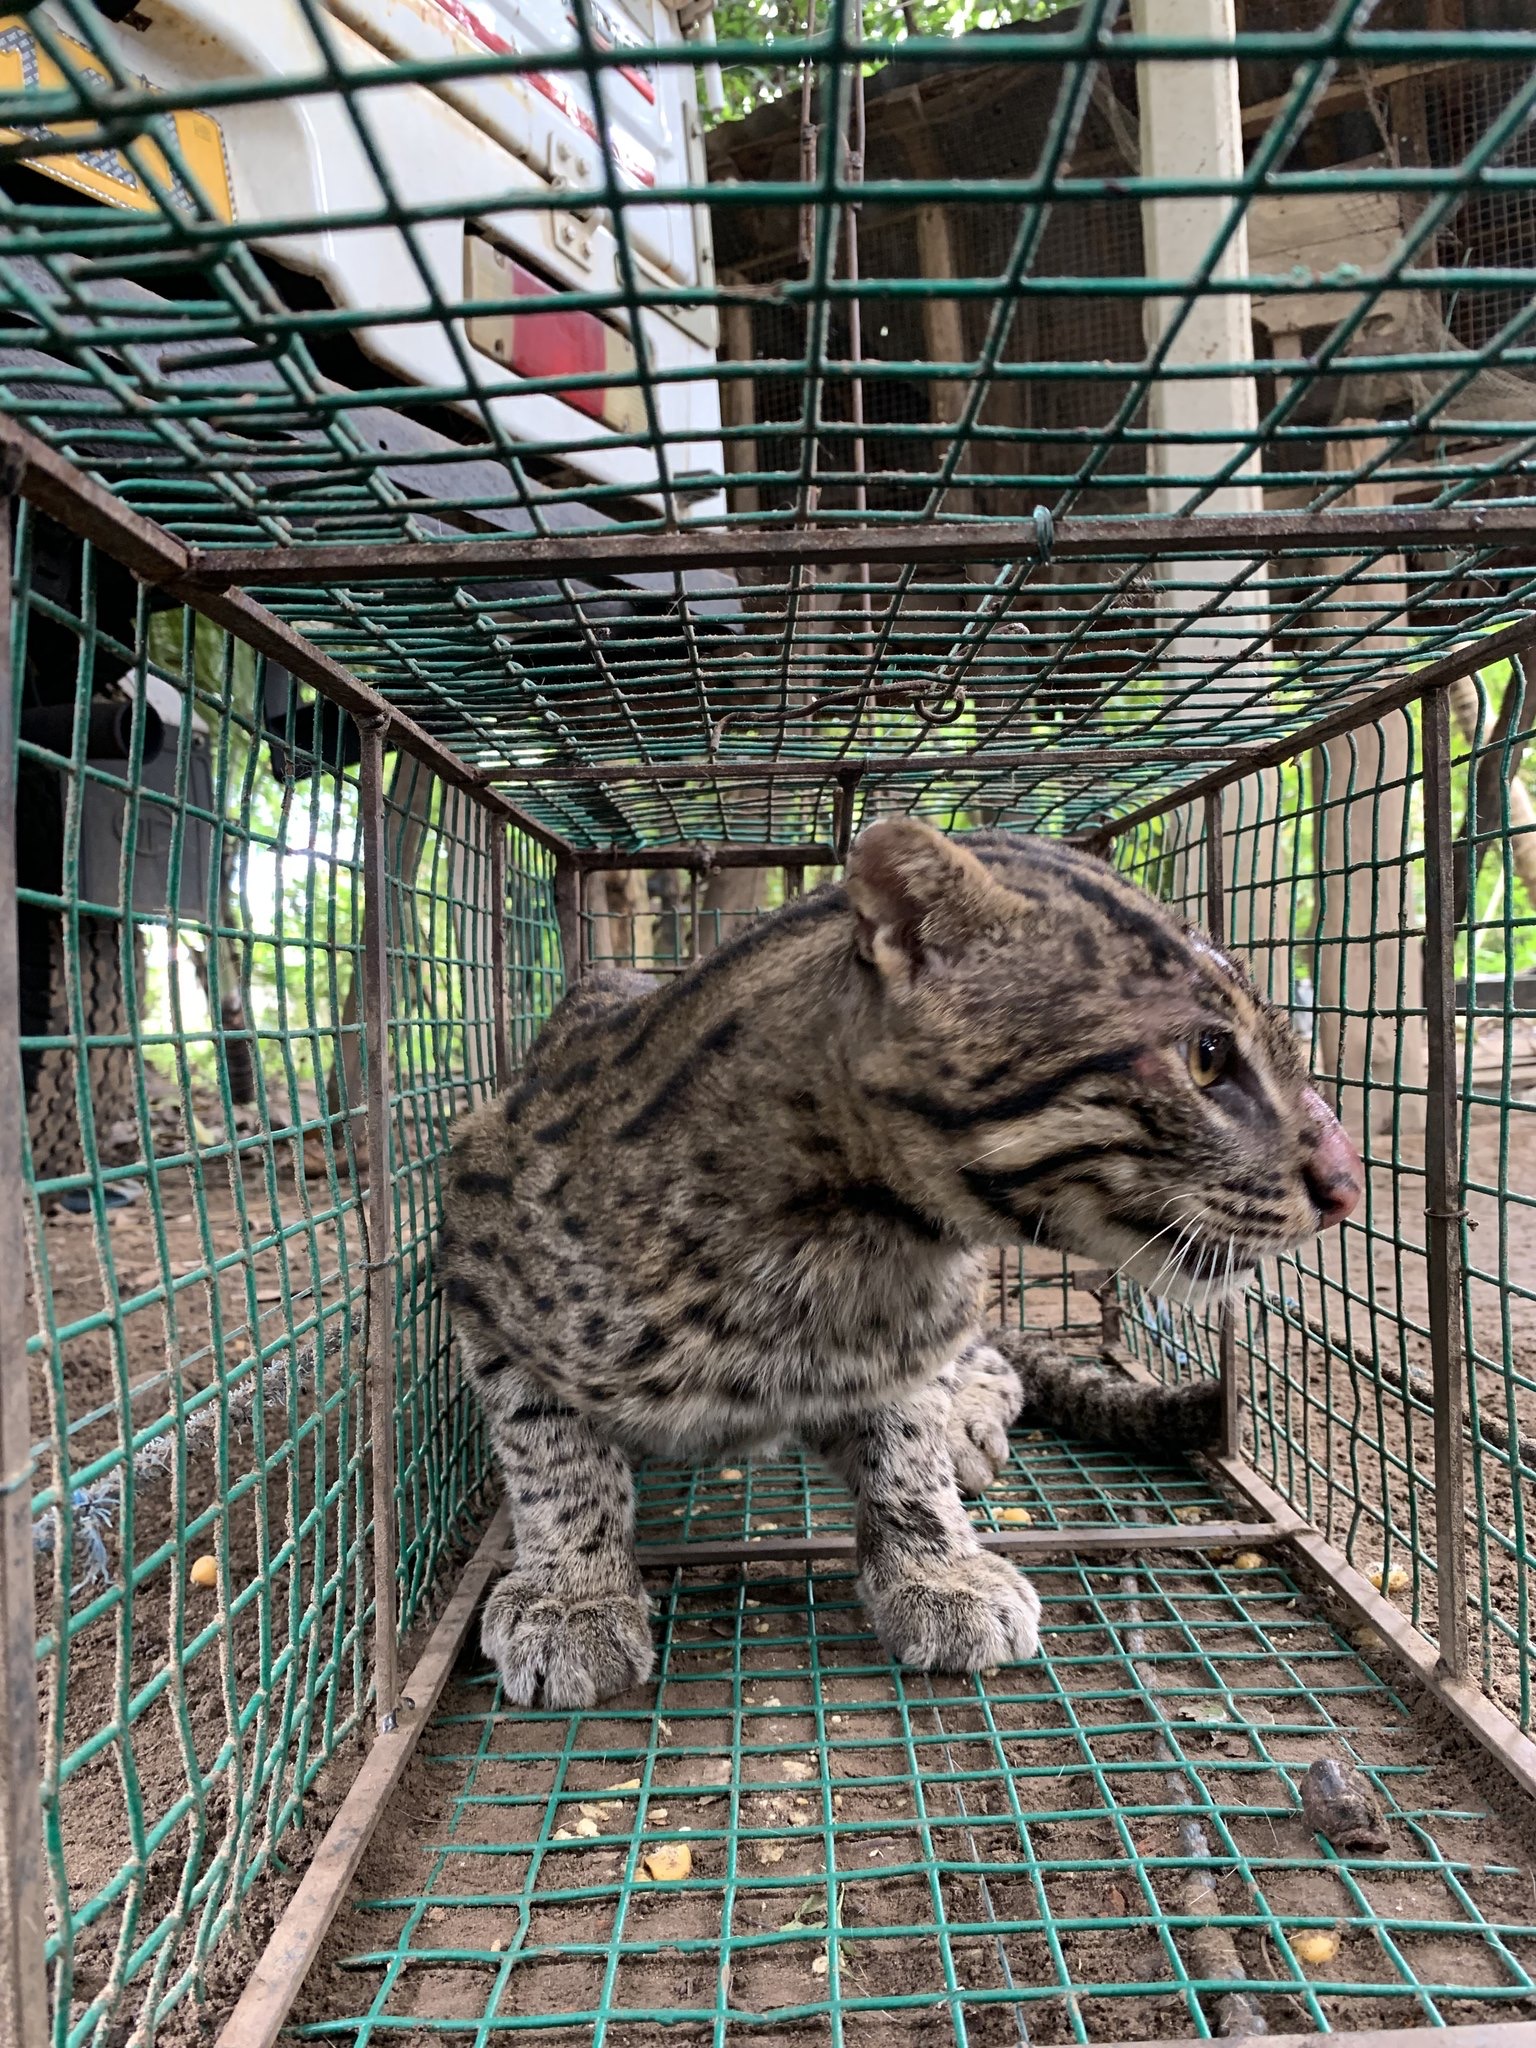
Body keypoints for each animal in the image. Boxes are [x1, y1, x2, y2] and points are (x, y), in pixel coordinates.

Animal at [439, 818, 1362, 1708]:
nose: (1350, 1184)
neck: (854, 1246)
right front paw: (574, 1593)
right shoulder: (473, 1235)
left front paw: (935, 1562)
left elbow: (908, 1436)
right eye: (1208, 1055)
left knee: (996, 1362)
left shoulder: (917, 1328)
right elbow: (549, 1446)